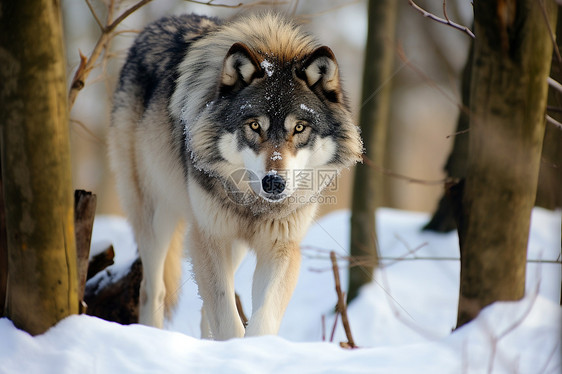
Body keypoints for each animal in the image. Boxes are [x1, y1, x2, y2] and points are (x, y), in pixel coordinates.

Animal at [107, 11, 360, 340]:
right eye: (254, 126)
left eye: (299, 128)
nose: (274, 182)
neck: (255, 206)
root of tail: (159, 22)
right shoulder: (209, 237)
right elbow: (227, 317)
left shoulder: (281, 246)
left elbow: (262, 317)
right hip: (157, 218)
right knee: (153, 291)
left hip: (232, 246)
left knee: (204, 311)